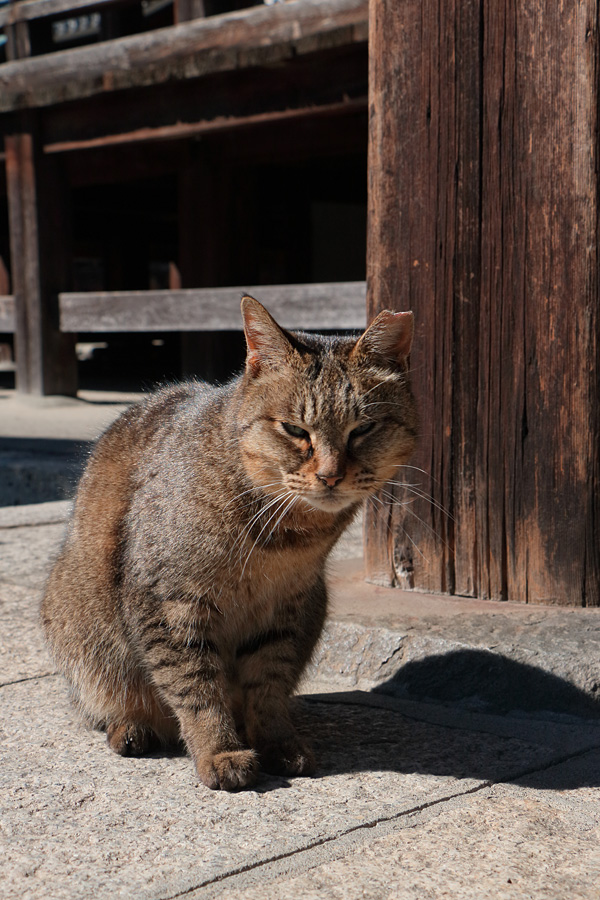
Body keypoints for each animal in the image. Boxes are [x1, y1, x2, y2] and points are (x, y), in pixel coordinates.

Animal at [41, 296, 418, 788]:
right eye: (295, 430)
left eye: (363, 429)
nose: (330, 475)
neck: (283, 535)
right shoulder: (170, 604)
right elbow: (196, 688)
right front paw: (219, 751)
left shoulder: (285, 608)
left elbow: (268, 685)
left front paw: (276, 742)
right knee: (107, 703)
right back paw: (131, 728)